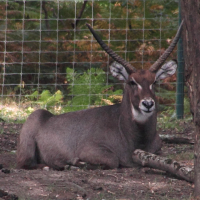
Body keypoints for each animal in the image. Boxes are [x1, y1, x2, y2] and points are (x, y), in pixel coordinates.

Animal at [17, 21, 183, 170]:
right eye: (132, 82)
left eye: (154, 81)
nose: (148, 104)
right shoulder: (90, 148)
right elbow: (113, 160)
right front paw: (77, 162)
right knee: (27, 164)